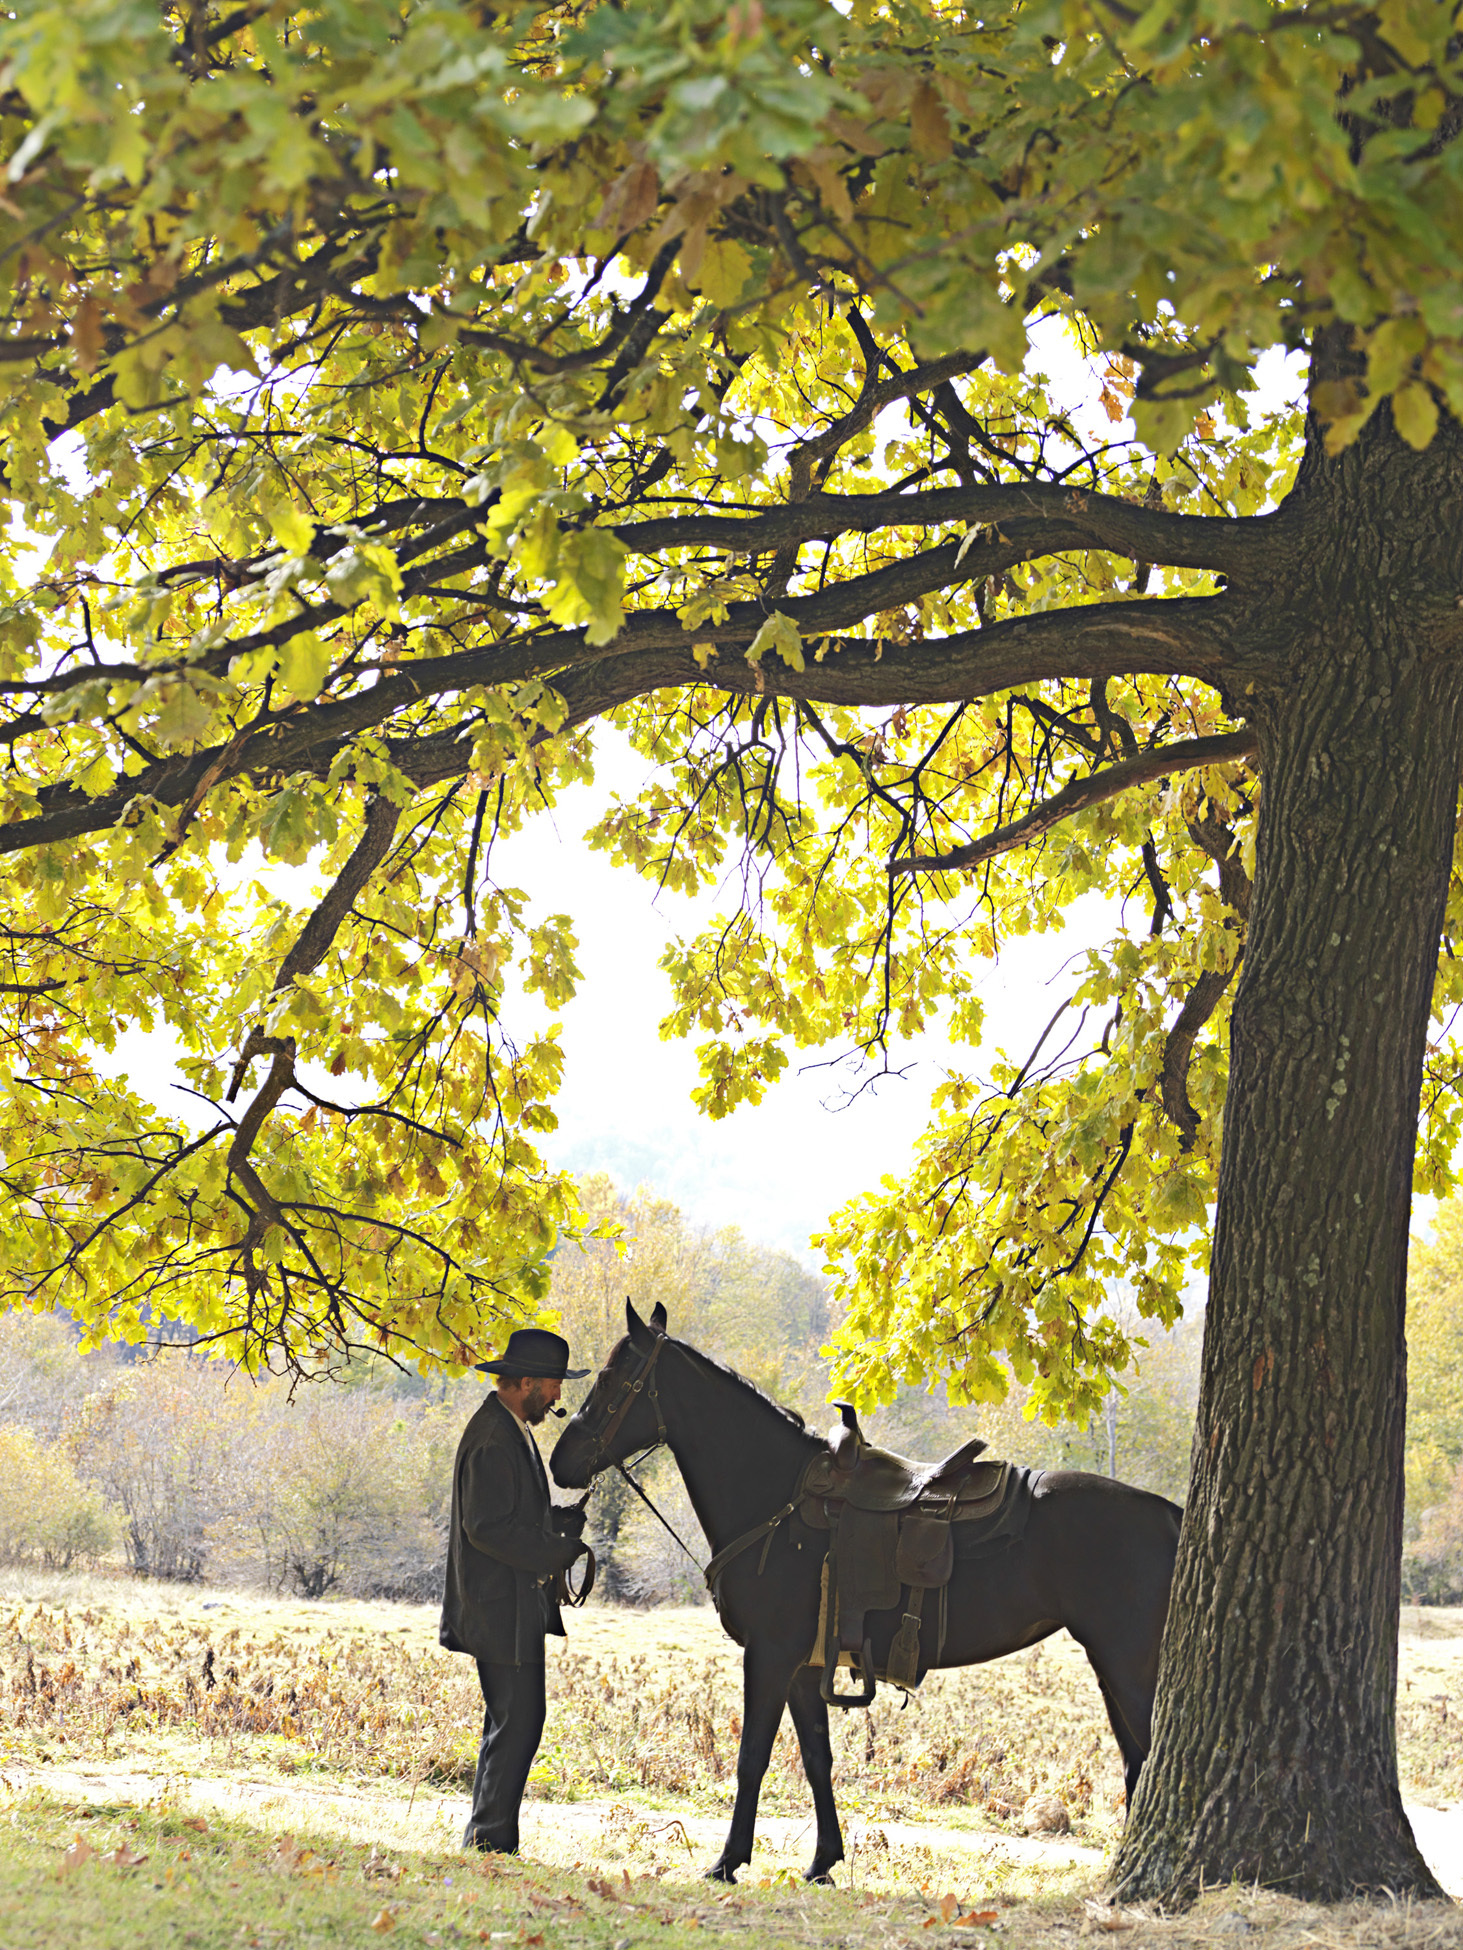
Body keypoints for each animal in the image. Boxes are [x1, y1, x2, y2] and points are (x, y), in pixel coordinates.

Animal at [553, 1302, 1186, 1879]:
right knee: (1137, 1762)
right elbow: (817, 1757)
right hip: (1110, 1665)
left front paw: (728, 1861)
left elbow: (753, 1756)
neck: (778, 1498)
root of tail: (1172, 1515)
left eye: (610, 1378)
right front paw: (822, 1861)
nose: (562, 1461)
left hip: (1130, 1663)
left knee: (1150, 1756)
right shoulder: (803, 1666)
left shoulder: (770, 1655)